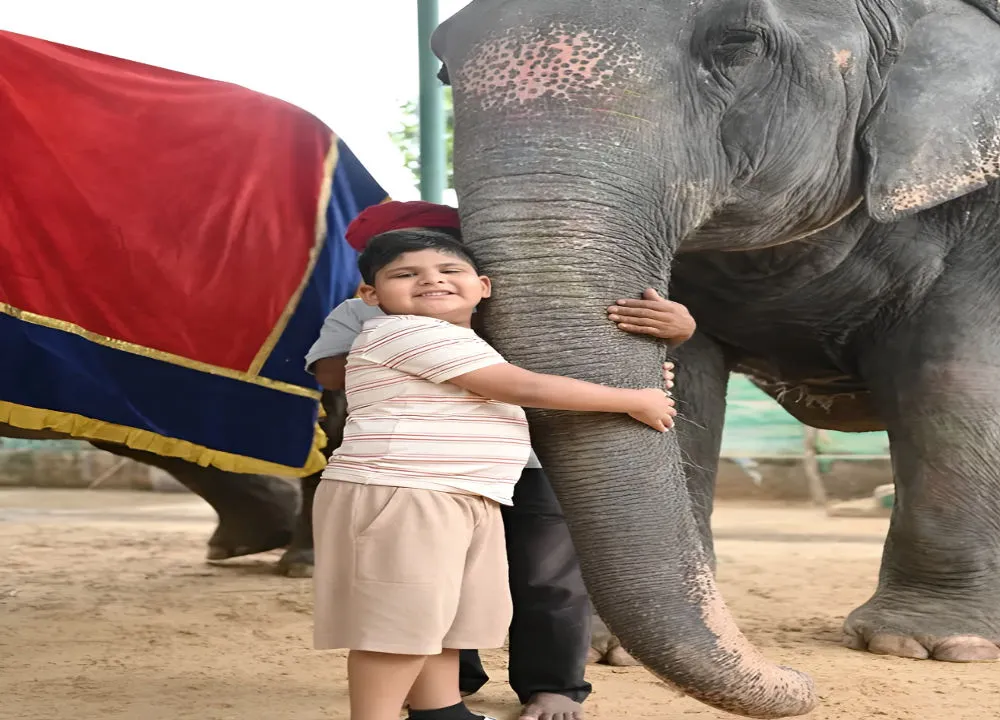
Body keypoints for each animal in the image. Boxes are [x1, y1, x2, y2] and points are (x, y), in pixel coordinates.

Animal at [429, 0, 1000, 716]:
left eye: (738, 40)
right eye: (443, 67)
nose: (803, 681)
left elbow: (948, 377)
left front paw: (927, 644)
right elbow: (691, 381)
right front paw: (609, 650)